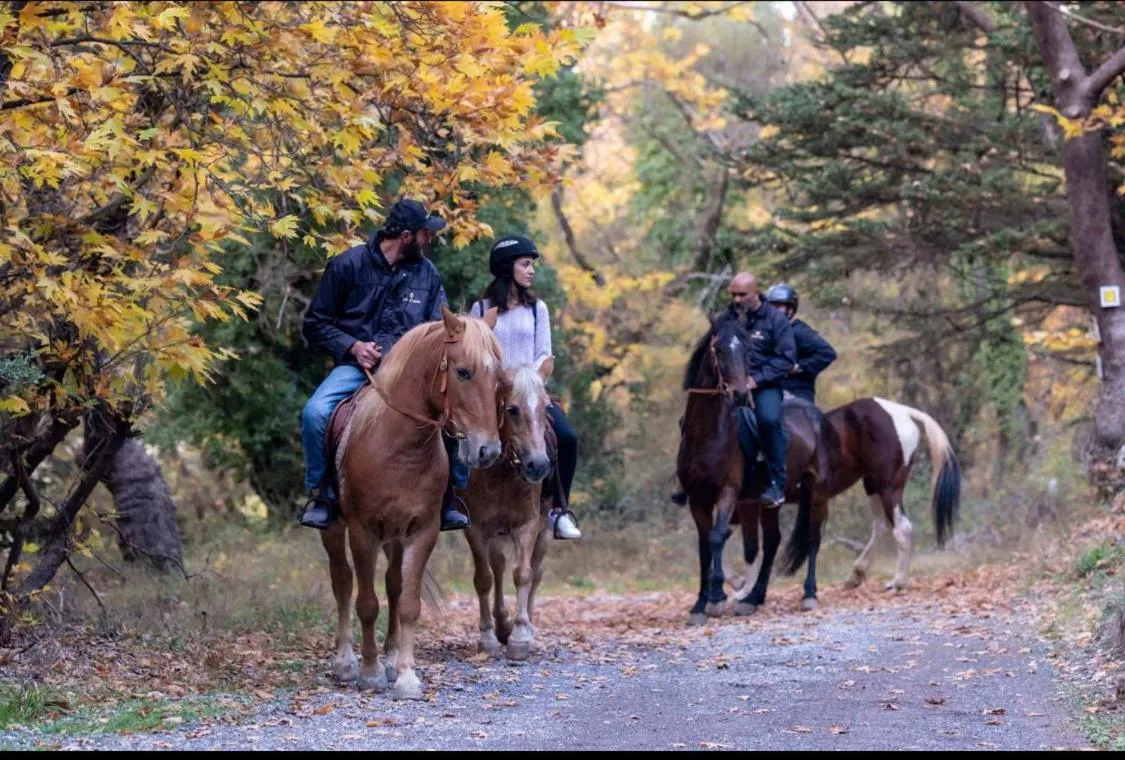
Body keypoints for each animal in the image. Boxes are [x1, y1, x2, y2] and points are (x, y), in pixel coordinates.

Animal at [320, 305, 505, 701]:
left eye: (498, 376)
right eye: (463, 371)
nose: (488, 450)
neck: (399, 446)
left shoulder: (423, 530)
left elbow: (406, 602)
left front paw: (404, 675)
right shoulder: (362, 531)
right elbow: (366, 603)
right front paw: (369, 672)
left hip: (395, 535)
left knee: (392, 583)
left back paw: (390, 658)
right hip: (334, 528)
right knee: (342, 581)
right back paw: (344, 661)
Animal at [460, 359, 555, 662]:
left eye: (546, 407)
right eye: (512, 409)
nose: (538, 465)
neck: (501, 471)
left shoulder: (529, 524)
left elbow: (523, 574)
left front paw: (521, 636)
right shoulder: (476, 528)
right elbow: (485, 578)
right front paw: (489, 637)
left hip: (545, 530)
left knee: (536, 572)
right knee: (498, 567)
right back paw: (501, 624)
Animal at [675, 311, 829, 625]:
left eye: (747, 349)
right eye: (719, 349)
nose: (738, 394)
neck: (708, 434)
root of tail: (814, 414)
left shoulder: (728, 492)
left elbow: (717, 537)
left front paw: (716, 597)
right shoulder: (697, 499)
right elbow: (704, 546)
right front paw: (699, 604)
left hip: (816, 490)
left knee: (812, 539)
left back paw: (809, 595)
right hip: (766, 501)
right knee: (772, 542)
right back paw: (753, 598)